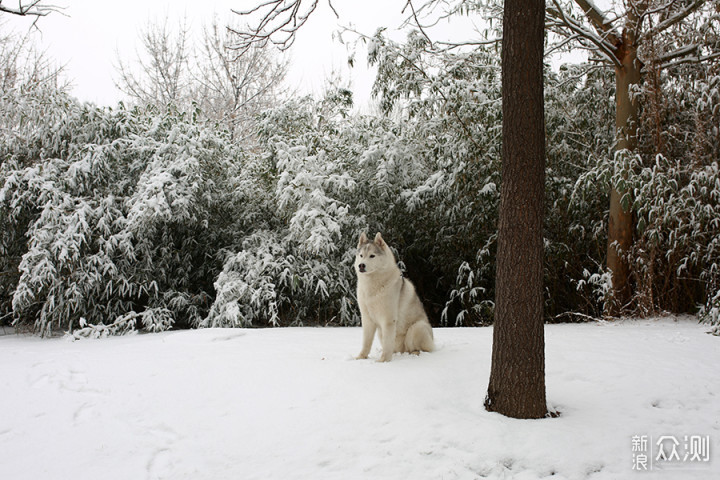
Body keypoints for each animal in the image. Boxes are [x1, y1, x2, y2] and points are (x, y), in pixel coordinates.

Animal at [354, 231, 434, 362]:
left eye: (372, 256)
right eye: (361, 255)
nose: (361, 265)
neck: (373, 285)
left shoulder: (388, 319)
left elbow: (387, 343)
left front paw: (383, 361)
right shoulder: (367, 319)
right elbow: (366, 342)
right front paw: (361, 357)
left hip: (417, 328)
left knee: (422, 349)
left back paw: (415, 353)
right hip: (382, 333)